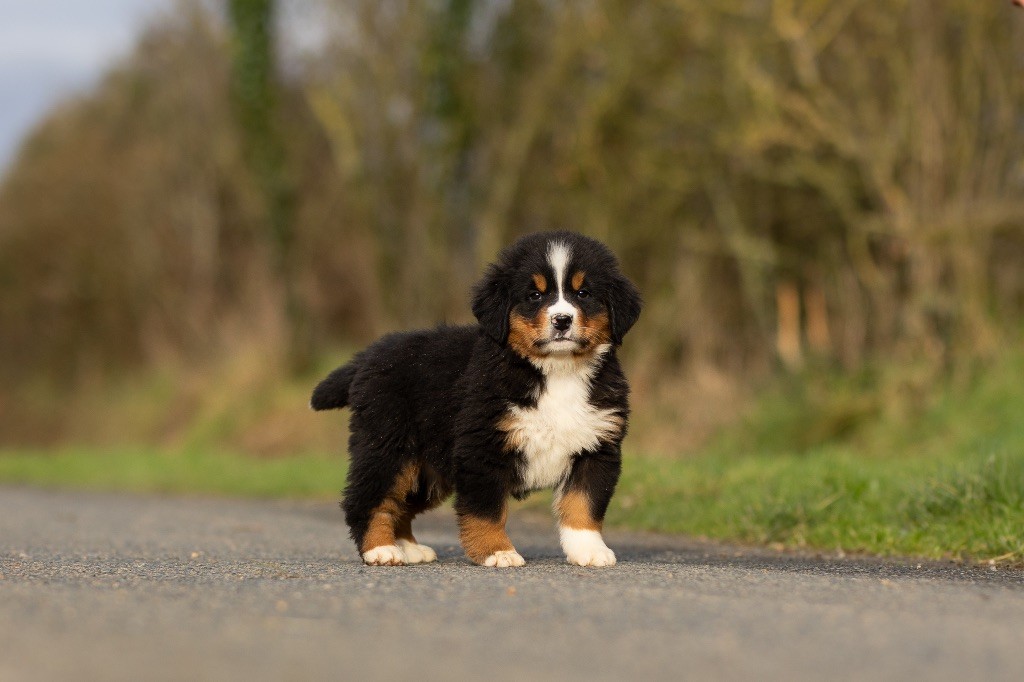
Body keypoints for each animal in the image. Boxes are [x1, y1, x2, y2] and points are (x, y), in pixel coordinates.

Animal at [309, 231, 638, 565]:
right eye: (534, 295)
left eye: (583, 293)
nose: (562, 320)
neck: (557, 370)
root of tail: (369, 355)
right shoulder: (482, 447)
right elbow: (487, 510)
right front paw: (498, 551)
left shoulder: (595, 447)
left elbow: (584, 505)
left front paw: (590, 550)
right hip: (388, 447)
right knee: (369, 498)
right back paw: (381, 550)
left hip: (427, 470)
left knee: (401, 503)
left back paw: (409, 548)